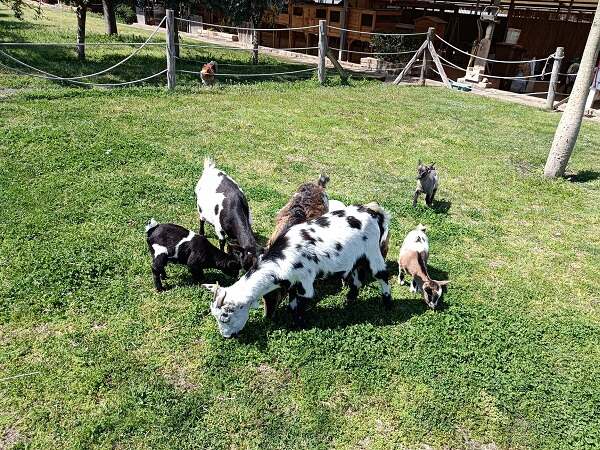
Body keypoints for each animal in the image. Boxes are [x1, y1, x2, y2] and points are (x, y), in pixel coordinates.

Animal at [202, 203, 392, 338]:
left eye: (225, 316)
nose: (227, 336)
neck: (282, 258)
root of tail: (374, 213)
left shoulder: (305, 282)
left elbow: (298, 305)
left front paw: (299, 325)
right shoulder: (293, 283)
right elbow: (292, 304)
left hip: (373, 252)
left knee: (382, 275)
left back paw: (387, 304)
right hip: (356, 258)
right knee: (357, 278)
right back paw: (350, 300)